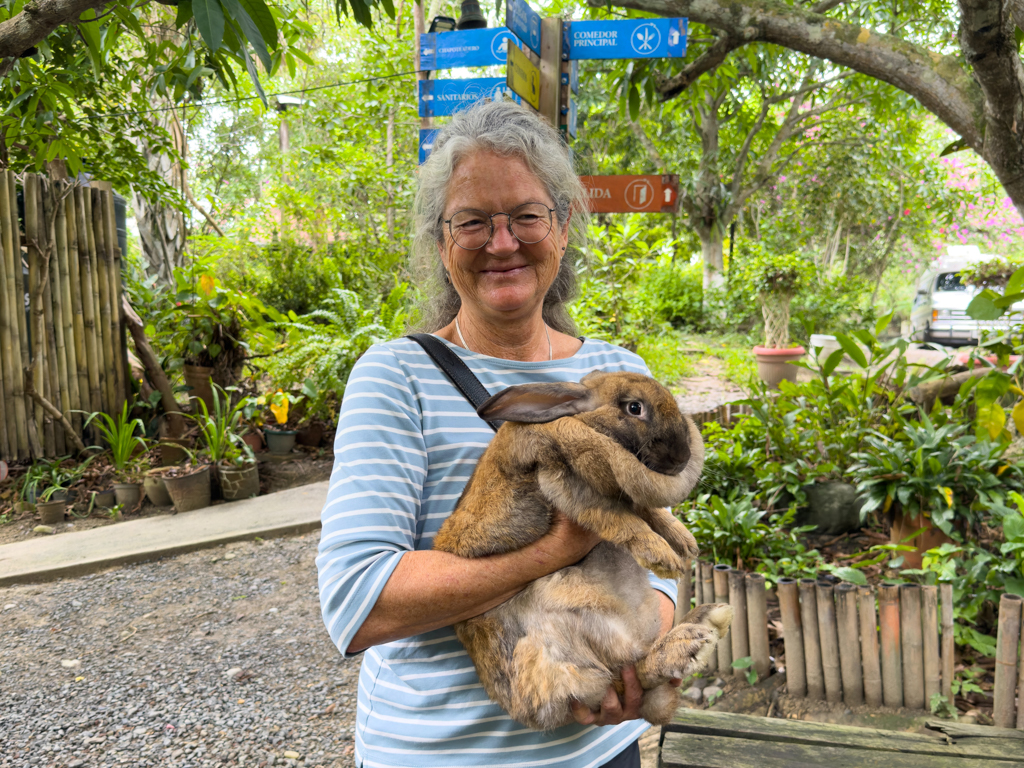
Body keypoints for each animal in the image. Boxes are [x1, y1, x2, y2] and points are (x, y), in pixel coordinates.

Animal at [436, 372, 733, 733]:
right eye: (634, 407)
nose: (681, 456)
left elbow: (649, 512)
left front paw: (684, 541)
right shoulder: (571, 488)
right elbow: (624, 522)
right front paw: (664, 558)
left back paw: (705, 618)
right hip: (568, 636)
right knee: (621, 678)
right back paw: (689, 642)